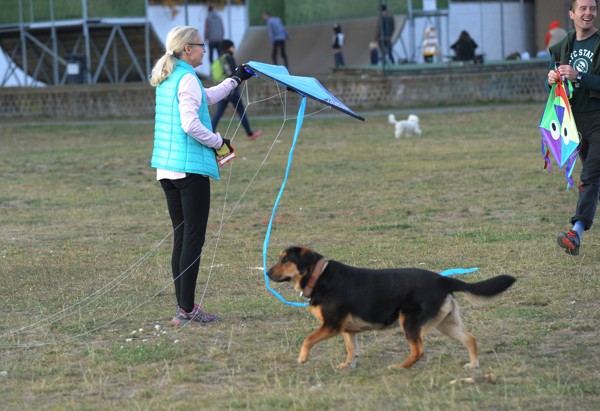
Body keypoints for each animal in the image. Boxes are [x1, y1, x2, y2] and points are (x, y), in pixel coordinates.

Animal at [267, 246, 515, 370]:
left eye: (286, 260)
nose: (267, 273)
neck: (318, 276)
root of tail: (441, 280)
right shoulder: (347, 330)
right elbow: (351, 349)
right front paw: (348, 366)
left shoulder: (332, 325)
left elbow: (307, 339)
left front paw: (302, 358)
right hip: (446, 324)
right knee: (470, 339)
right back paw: (473, 365)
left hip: (410, 322)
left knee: (419, 350)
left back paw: (400, 367)